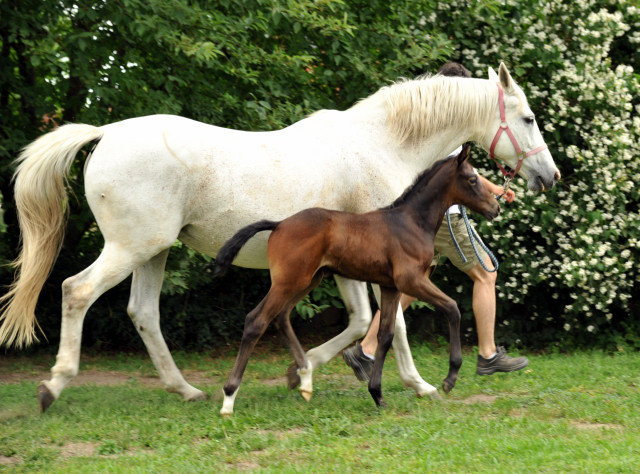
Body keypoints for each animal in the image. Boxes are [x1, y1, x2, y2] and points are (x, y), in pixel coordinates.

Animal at [215, 145, 500, 414]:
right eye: (472, 179)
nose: (495, 208)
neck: (411, 222)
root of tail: (279, 224)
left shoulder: (390, 286)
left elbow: (386, 334)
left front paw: (377, 394)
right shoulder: (411, 280)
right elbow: (452, 308)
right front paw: (450, 379)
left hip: (307, 280)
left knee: (281, 316)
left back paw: (305, 380)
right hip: (289, 281)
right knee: (256, 320)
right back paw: (229, 398)